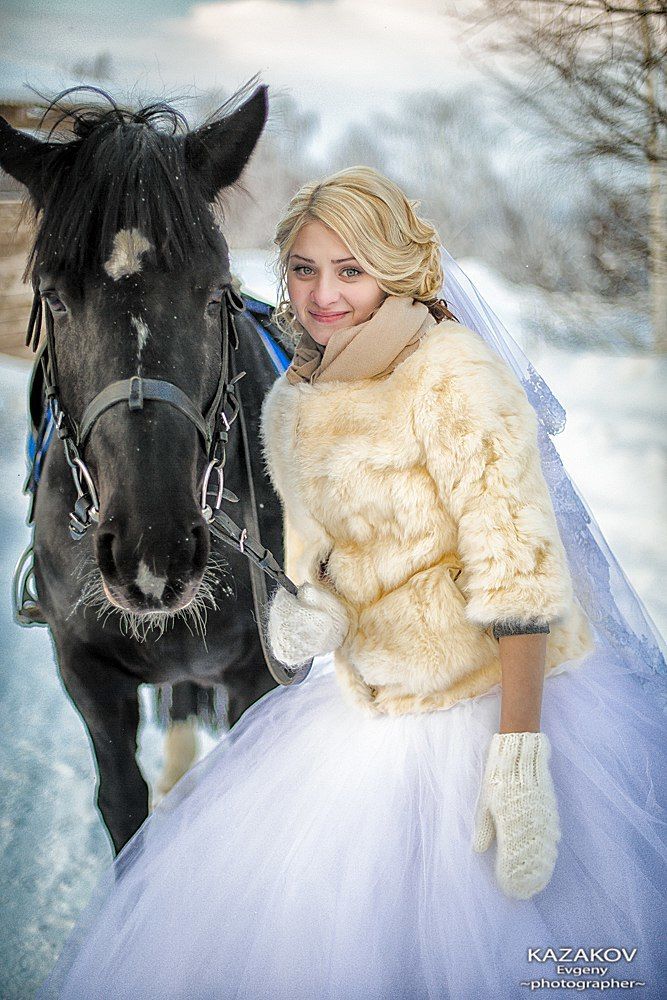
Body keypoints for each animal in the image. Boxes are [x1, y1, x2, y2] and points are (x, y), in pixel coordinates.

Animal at [1, 84, 294, 852]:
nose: (153, 551)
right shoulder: (85, 670)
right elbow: (120, 798)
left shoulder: (257, 674)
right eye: (55, 296)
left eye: (215, 292)